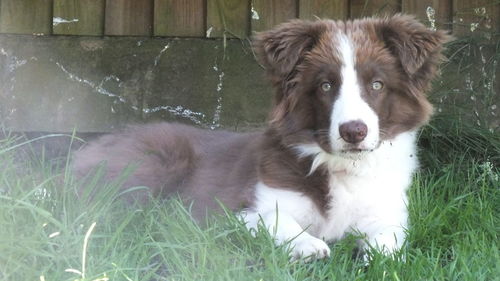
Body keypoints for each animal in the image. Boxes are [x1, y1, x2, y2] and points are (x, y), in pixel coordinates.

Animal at [73, 14, 450, 260]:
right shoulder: (232, 210)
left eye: (377, 85)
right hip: (156, 160)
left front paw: (372, 253)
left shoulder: (387, 210)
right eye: (326, 86)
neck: (341, 167)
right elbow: (274, 219)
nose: (353, 131)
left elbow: (391, 239)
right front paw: (310, 246)